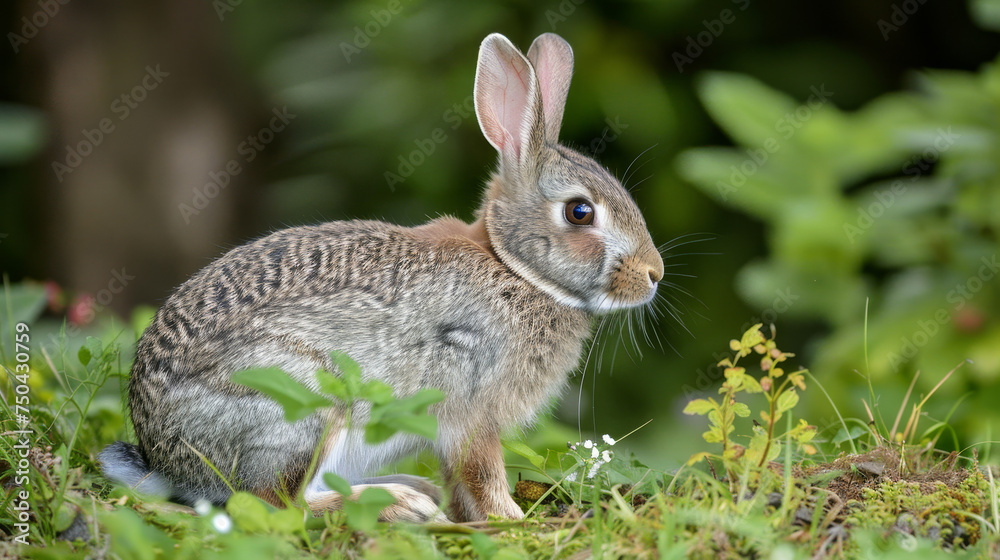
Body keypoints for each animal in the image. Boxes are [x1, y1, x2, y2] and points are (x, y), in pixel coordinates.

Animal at [99, 32, 664, 523]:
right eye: (579, 212)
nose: (653, 274)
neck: (513, 267)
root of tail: (164, 457)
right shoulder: (470, 405)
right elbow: (482, 472)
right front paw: (511, 520)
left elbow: (462, 481)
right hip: (300, 402)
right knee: (278, 503)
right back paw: (398, 504)